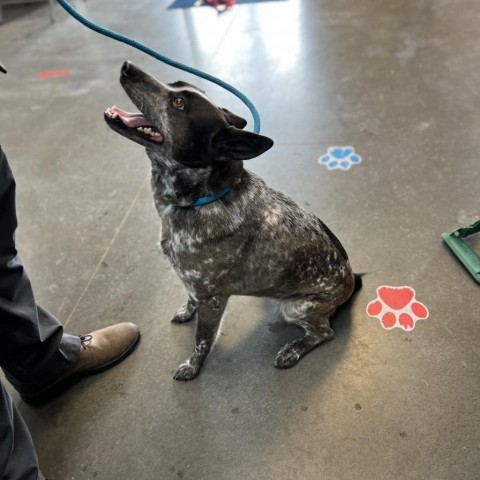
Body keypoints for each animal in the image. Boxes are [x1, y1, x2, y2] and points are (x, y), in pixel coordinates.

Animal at [105, 62, 360, 380]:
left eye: (179, 104)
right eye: (175, 83)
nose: (128, 67)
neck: (201, 199)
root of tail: (350, 280)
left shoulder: (212, 299)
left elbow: (202, 340)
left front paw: (193, 367)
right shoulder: (195, 286)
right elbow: (190, 299)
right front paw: (186, 312)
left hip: (297, 308)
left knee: (324, 333)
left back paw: (293, 350)